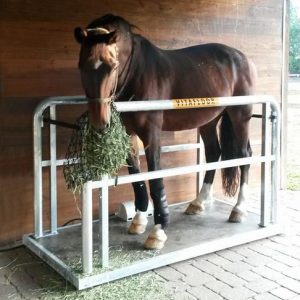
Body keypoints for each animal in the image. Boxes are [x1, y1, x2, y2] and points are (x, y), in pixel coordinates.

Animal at [74, 14, 256, 250]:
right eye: (81, 66)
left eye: (112, 66)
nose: (99, 123)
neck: (137, 72)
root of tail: (243, 58)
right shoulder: (129, 134)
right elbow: (137, 178)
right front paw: (139, 220)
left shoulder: (151, 134)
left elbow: (155, 177)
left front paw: (157, 232)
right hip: (209, 121)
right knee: (214, 153)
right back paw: (198, 203)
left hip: (240, 116)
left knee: (244, 156)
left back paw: (238, 209)